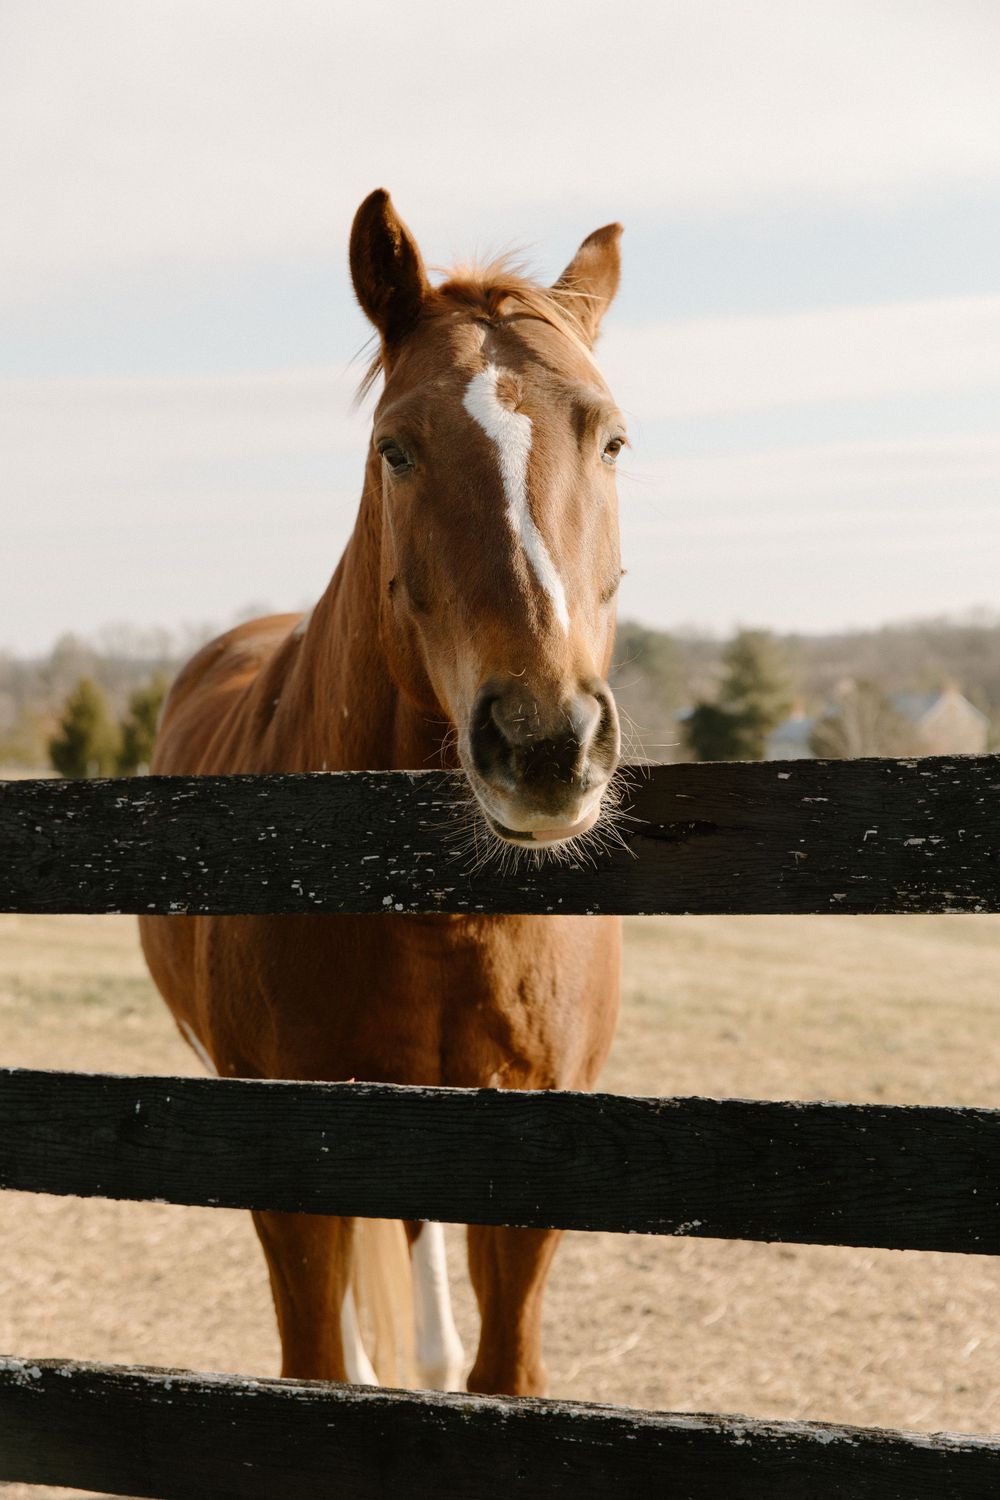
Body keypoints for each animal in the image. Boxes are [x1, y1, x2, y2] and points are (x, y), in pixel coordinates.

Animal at [139, 188, 626, 1398]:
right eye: (395, 448)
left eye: (611, 439)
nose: (545, 743)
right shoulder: (285, 1170)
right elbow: (322, 1367)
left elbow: (502, 1370)